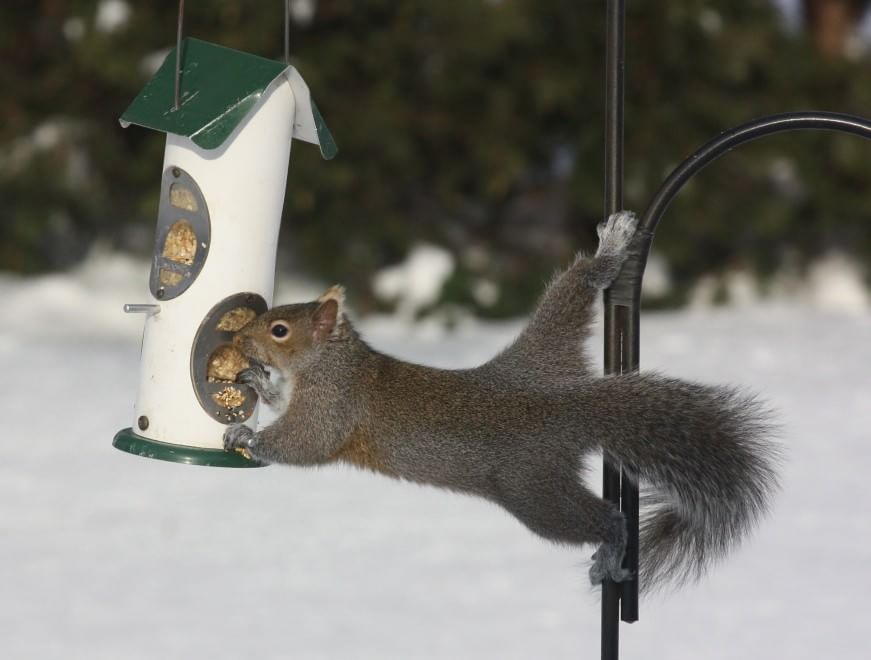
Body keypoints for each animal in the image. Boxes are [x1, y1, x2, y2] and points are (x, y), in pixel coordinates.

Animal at [223, 211, 779, 591]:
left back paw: (612, 547)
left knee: (603, 518)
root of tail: (564, 402)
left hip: (533, 492)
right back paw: (610, 250)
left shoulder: (333, 403)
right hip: (548, 346)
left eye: (278, 329)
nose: (241, 341)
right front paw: (257, 381)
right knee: (574, 288)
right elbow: (281, 400)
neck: (330, 362)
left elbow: (306, 442)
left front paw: (249, 435)